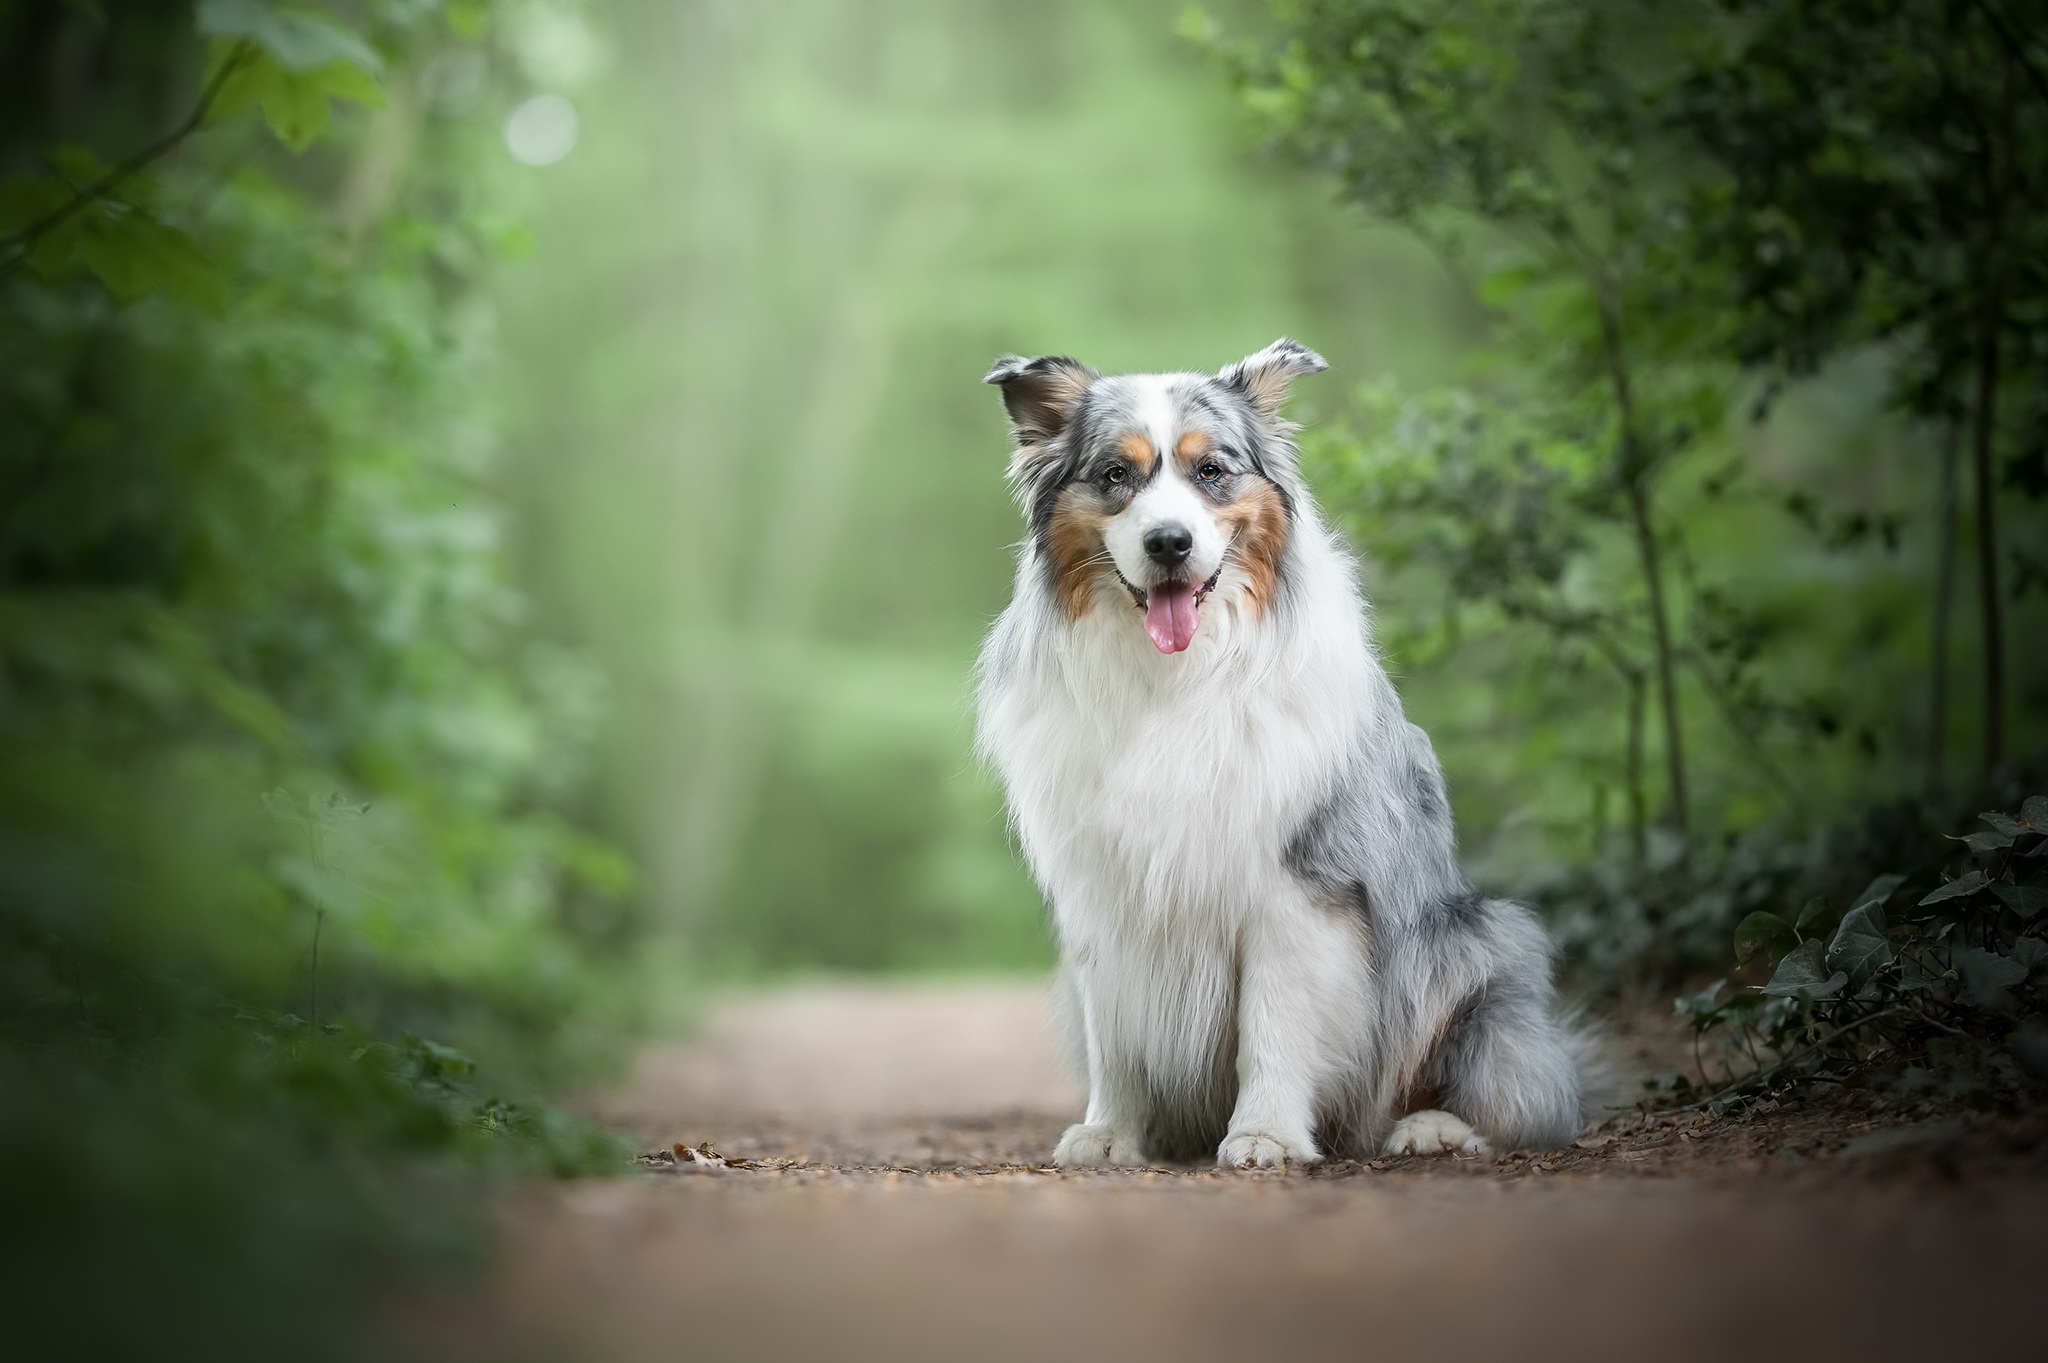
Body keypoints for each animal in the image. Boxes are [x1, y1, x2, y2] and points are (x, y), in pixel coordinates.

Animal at [983, 341, 1589, 1170]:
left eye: (1211, 470)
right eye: (1114, 474)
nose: (1168, 542)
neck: (1177, 675)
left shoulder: (1299, 888)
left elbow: (1272, 1023)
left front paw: (1265, 1132)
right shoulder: (1103, 891)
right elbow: (1117, 1032)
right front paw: (1111, 1131)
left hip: (1480, 943)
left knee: (1518, 1092)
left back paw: (1432, 1127)